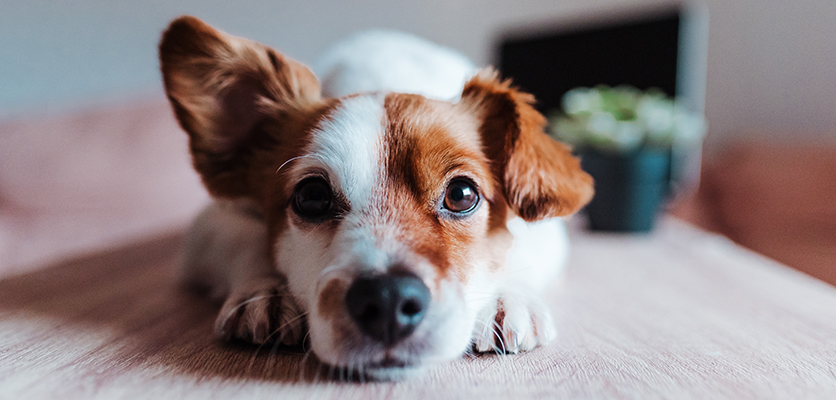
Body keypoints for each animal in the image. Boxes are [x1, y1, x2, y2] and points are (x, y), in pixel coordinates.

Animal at [158, 15, 596, 380]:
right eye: (311, 196)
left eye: (461, 194)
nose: (387, 300)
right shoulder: (210, 223)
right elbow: (246, 240)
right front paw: (266, 291)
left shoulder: (547, 229)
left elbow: (516, 247)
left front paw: (507, 296)